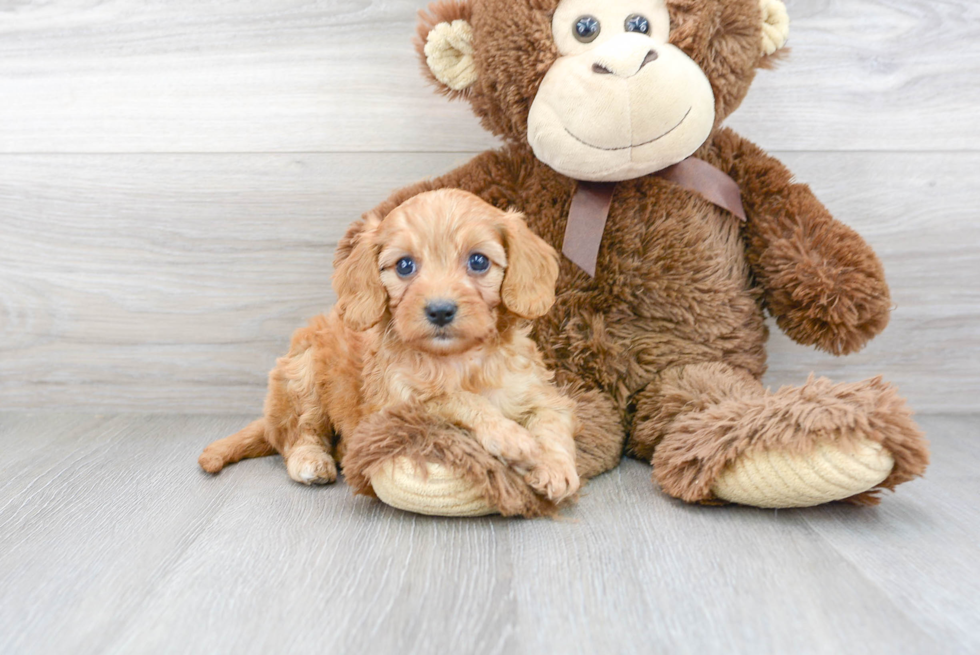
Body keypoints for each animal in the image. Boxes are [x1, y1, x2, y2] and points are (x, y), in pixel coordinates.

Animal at [201, 190, 580, 508]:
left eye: (478, 261)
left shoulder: (538, 392)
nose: (440, 310)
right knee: (297, 434)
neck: (457, 360)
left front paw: (556, 467)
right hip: (302, 377)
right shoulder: (395, 407)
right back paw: (311, 460)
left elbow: (552, 422)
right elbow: (454, 398)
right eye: (405, 266)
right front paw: (510, 436)